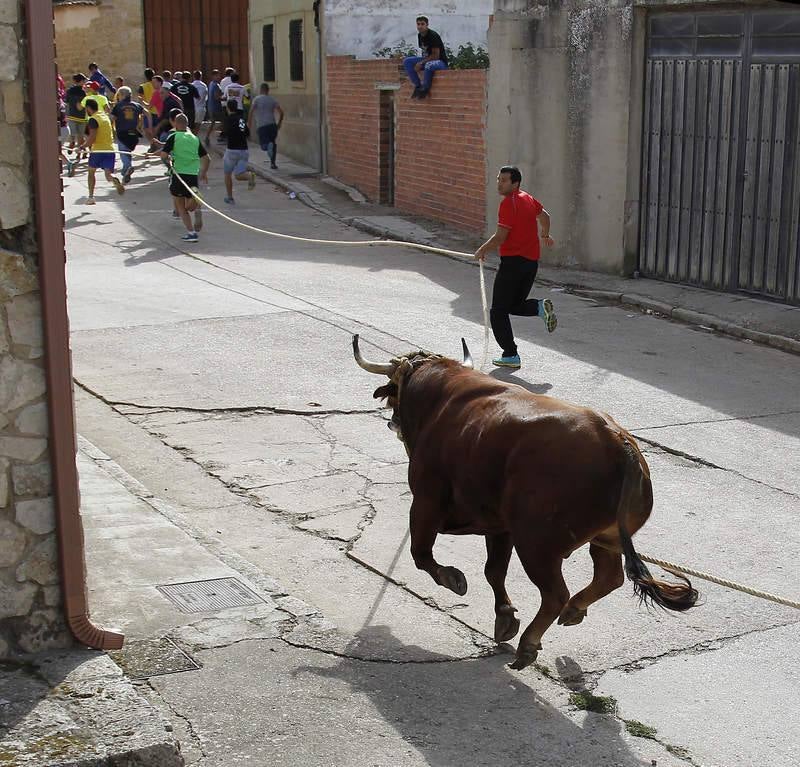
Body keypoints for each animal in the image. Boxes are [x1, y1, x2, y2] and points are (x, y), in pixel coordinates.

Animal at [354, 336, 696, 672]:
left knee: (556, 594)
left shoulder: (426, 502)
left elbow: (421, 554)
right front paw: (505, 617)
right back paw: (573, 610)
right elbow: (494, 571)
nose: (393, 422)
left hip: (536, 545)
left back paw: (530, 643)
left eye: (393, 393)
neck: (439, 396)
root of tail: (616, 440)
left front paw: (453, 579)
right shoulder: (499, 525)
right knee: (608, 576)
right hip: (603, 538)